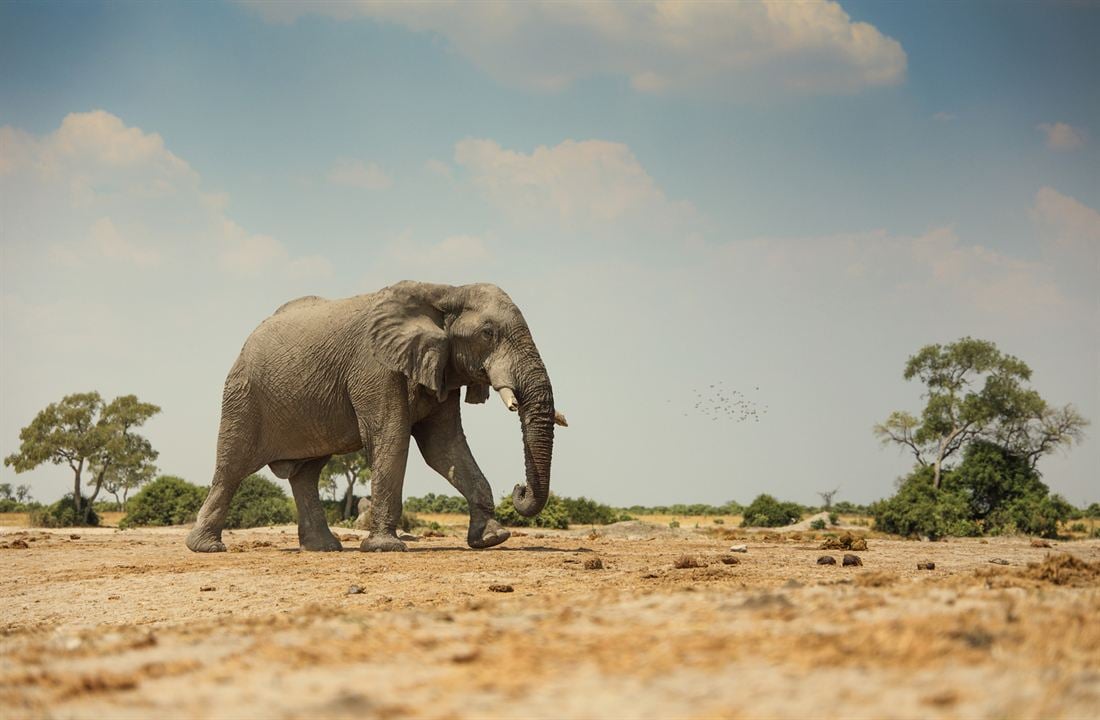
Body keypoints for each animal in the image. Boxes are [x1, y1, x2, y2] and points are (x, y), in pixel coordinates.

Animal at [182, 279, 567, 554]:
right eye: (488, 334)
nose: (518, 488)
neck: (446, 291)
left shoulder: (439, 368)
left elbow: (444, 448)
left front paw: (492, 539)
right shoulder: (375, 368)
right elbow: (391, 437)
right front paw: (385, 548)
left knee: (306, 474)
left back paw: (324, 549)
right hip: (244, 395)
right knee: (232, 468)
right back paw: (207, 548)